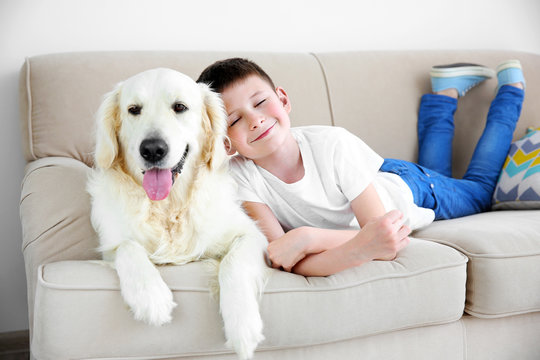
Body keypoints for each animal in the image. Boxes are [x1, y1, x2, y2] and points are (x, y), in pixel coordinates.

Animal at [87, 69, 270, 358]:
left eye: (180, 107)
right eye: (133, 109)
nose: (152, 149)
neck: (169, 206)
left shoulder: (252, 235)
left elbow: (233, 262)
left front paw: (242, 325)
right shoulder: (110, 247)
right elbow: (127, 247)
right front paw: (150, 296)